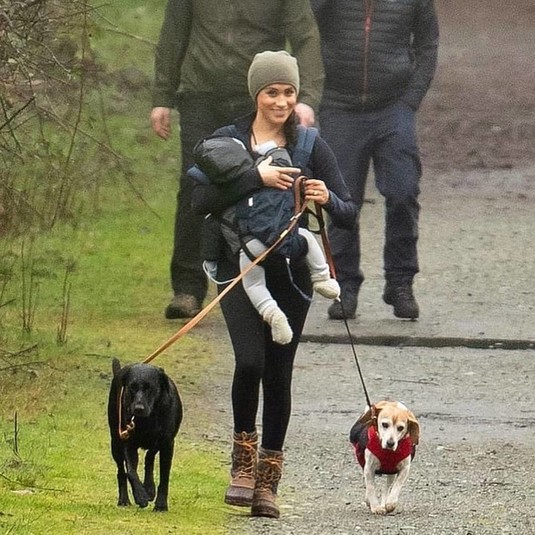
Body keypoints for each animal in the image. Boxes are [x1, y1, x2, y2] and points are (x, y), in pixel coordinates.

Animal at [107, 358, 182, 511]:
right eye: (132, 387)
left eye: (150, 388)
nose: (138, 408)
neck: (148, 419)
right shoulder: (128, 441)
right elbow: (131, 472)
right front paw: (141, 495)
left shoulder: (167, 443)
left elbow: (163, 475)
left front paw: (160, 504)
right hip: (115, 442)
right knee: (121, 472)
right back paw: (124, 500)